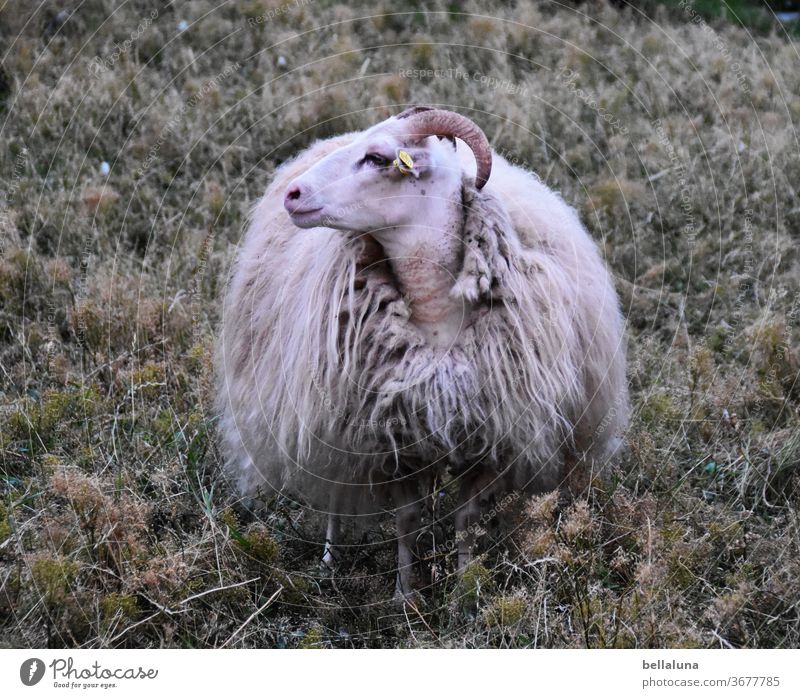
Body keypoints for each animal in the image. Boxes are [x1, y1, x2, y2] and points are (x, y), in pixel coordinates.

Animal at [216, 106, 628, 596]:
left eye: (377, 158)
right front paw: (404, 594)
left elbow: (466, 519)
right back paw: (330, 562)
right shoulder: (391, 440)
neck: (436, 312)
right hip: (329, 414)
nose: (293, 194)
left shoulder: (486, 433)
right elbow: (407, 520)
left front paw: (465, 591)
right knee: (334, 487)